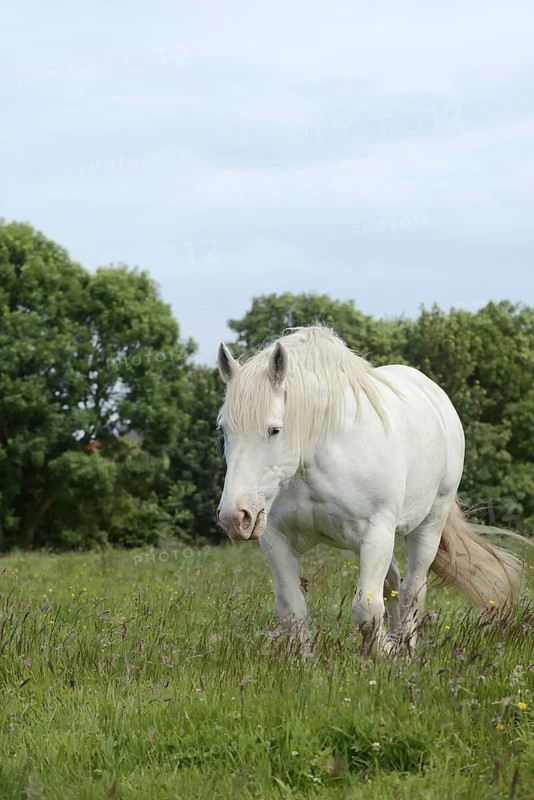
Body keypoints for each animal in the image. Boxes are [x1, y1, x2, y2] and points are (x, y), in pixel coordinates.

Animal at [216, 325, 523, 655]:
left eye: (274, 430)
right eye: (224, 429)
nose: (235, 516)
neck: (317, 454)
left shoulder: (376, 533)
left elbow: (366, 609)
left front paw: (380, 654)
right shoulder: (277, 539)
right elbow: (291, 609)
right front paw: (306, 661)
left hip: (429, 524)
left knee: (412, 589)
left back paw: (406, 648)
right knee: (394, 583)